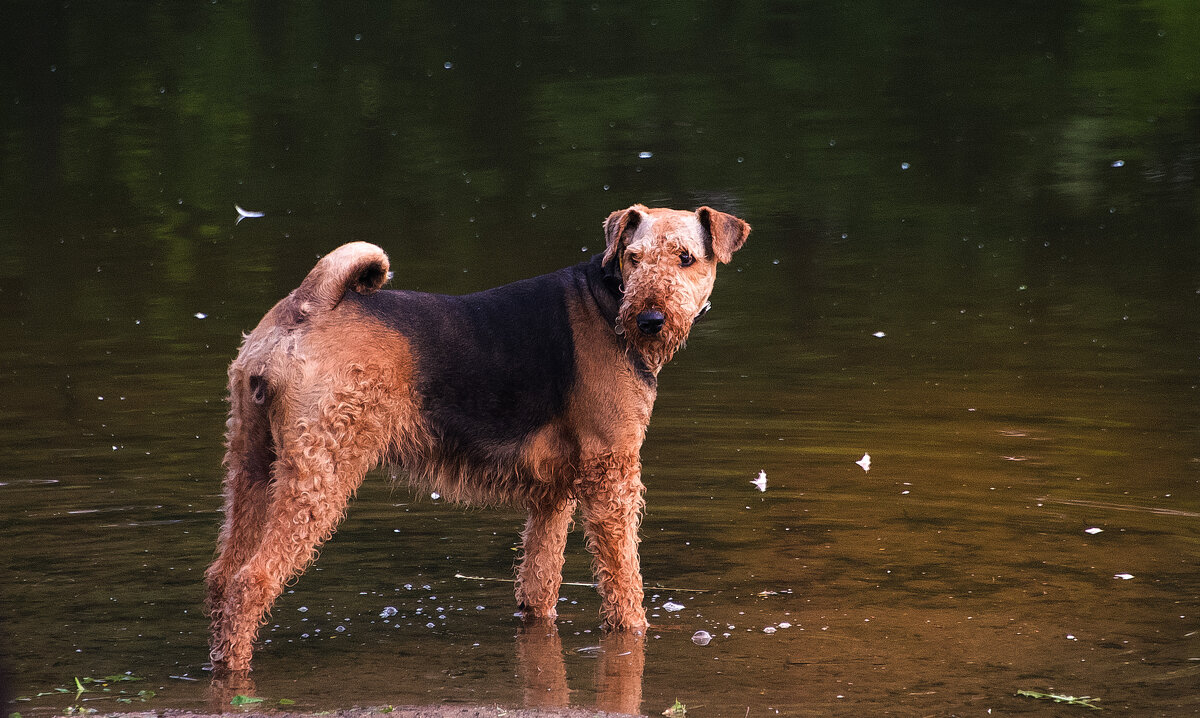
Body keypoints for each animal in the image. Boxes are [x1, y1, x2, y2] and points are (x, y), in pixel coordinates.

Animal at [206, 205, 748, 672]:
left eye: (686, 258)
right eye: (633, 257)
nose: (649, 321)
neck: (609, 301)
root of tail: (305, 305)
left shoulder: (553, 491)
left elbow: (539, 584)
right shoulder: (613, 472)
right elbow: (623, 580)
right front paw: (637, 630)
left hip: (253, 464)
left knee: (221, 576)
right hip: (319, 474)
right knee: (251, 580)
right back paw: (236, 668)